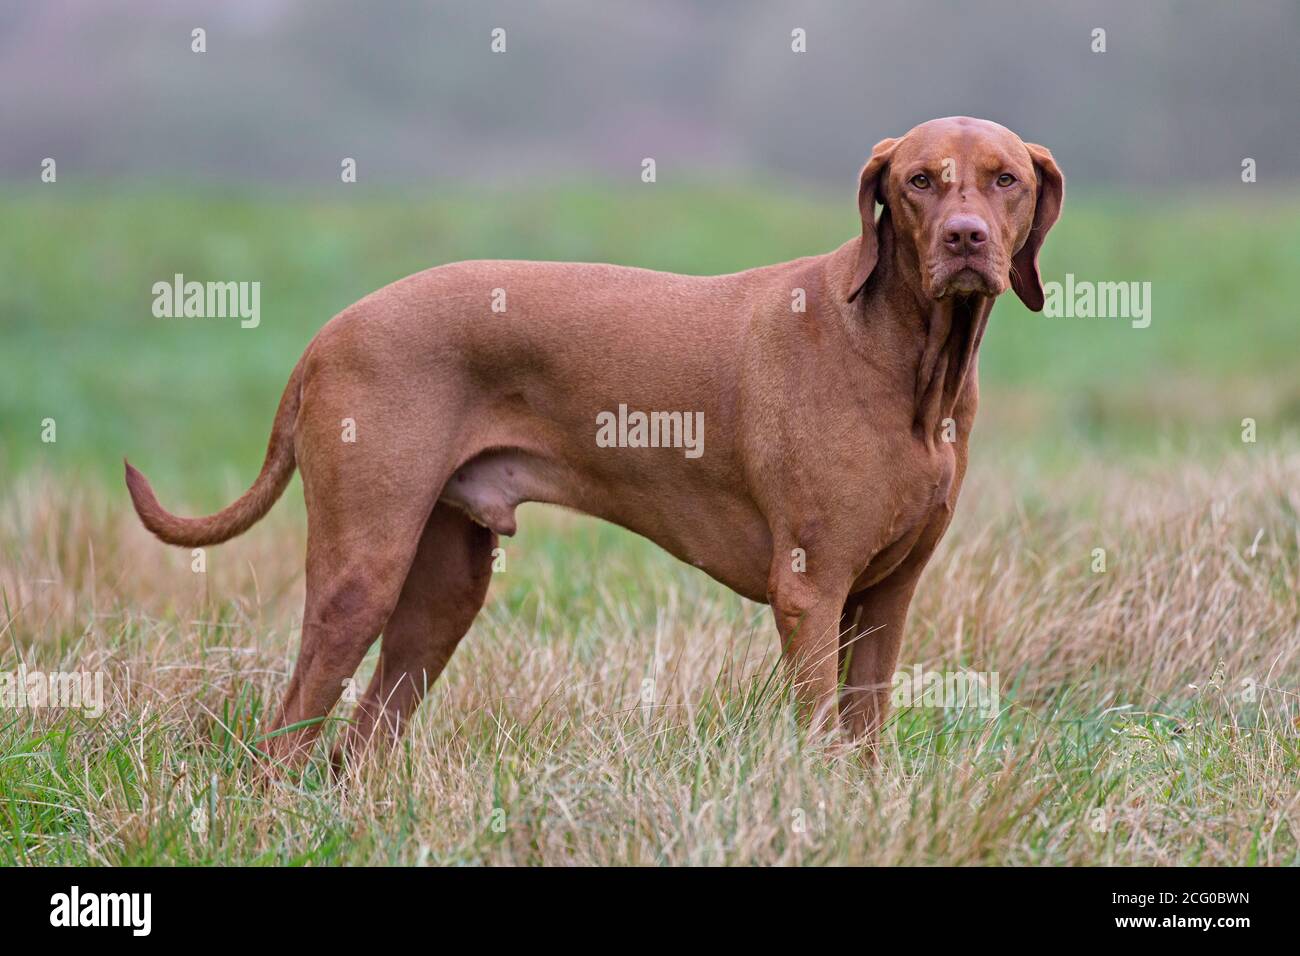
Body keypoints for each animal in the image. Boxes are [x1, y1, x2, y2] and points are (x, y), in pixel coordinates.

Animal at [126, 115, 1066, 764]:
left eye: (1006, 180)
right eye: (919, 181)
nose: (967, 240)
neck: (911, 362)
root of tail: (327, 334)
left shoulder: (887, 597)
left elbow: (865, 734)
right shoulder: (812, 590)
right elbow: (820, 736)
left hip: (442, 593)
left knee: (355, 747)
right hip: (363, 571)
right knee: (285, 740)